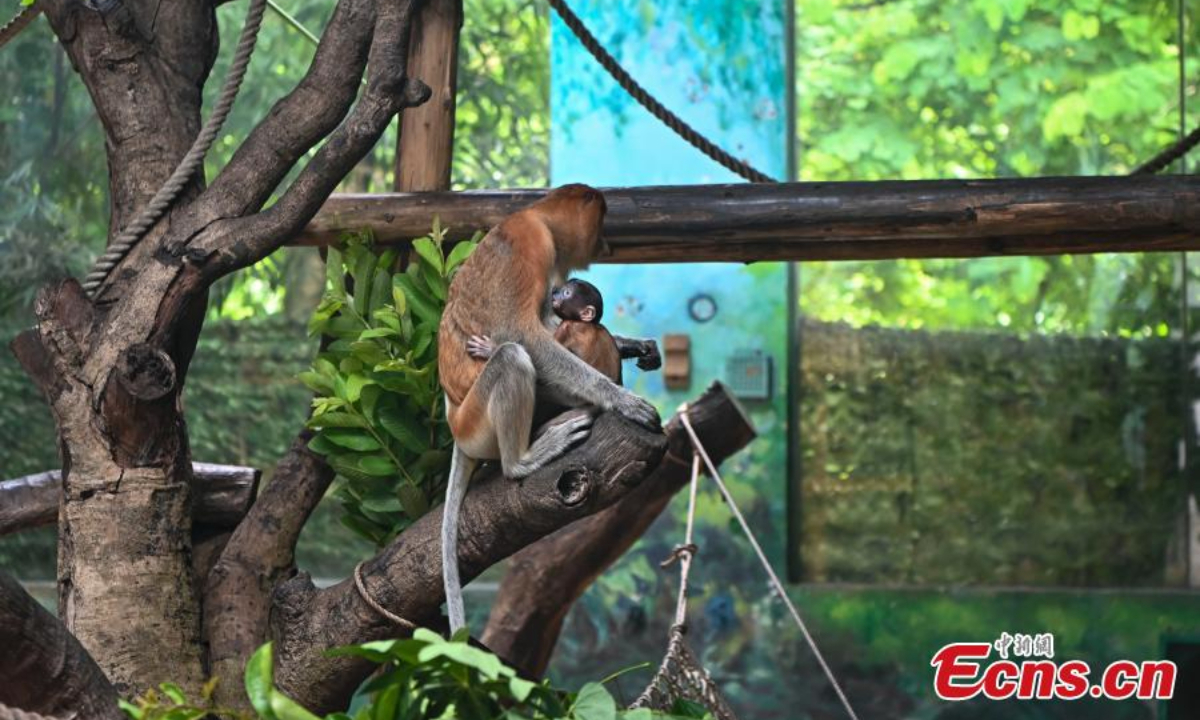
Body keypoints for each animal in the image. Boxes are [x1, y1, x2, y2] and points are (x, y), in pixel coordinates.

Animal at [437, 184, 661, 634]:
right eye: (601, 222)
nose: (605, 244)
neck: (535, 213)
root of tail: (455, 425)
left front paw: (640, 348)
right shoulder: (530, 242)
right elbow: (524, 332)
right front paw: (624, 400)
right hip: (478, 422)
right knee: (512, 357)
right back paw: (527, 455)